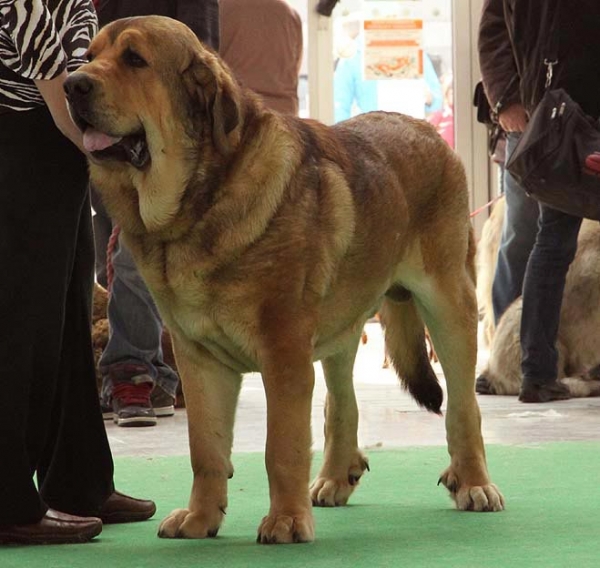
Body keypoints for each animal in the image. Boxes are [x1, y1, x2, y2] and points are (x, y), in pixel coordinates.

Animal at [65, 15, 504, 544]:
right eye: (88, 56)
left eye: (135, 59)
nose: (72, 84)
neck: (200, 203)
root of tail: (426, 129)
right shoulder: (199, 360)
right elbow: (206, 450)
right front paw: (200, 518)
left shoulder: (284, 354)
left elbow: (282, 447)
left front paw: (286, 521)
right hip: (343, 323)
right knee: (342, 403)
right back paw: (336, 477)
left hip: (447, 304)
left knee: (463, 407)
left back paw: (474, 483)